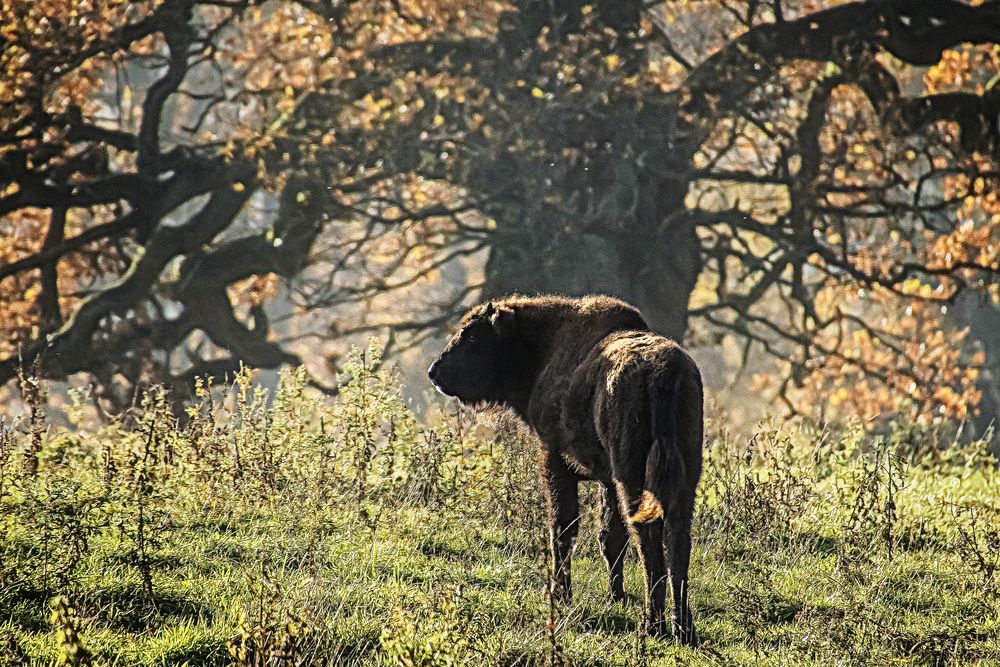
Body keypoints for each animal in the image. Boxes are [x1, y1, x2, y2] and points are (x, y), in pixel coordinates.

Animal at [430, 294, 704, 644]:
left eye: (473, 335)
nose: (435, 372)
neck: (543, 347)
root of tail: (663, 374)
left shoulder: (555, 459)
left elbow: (563, 527)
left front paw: (561, 595)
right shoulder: (607, 480)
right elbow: (610, 537)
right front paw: (615, 597)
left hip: (632, 476)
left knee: (649, 541)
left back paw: (652, 625)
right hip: (683, 479)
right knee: (678, 542)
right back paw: (683, 628)